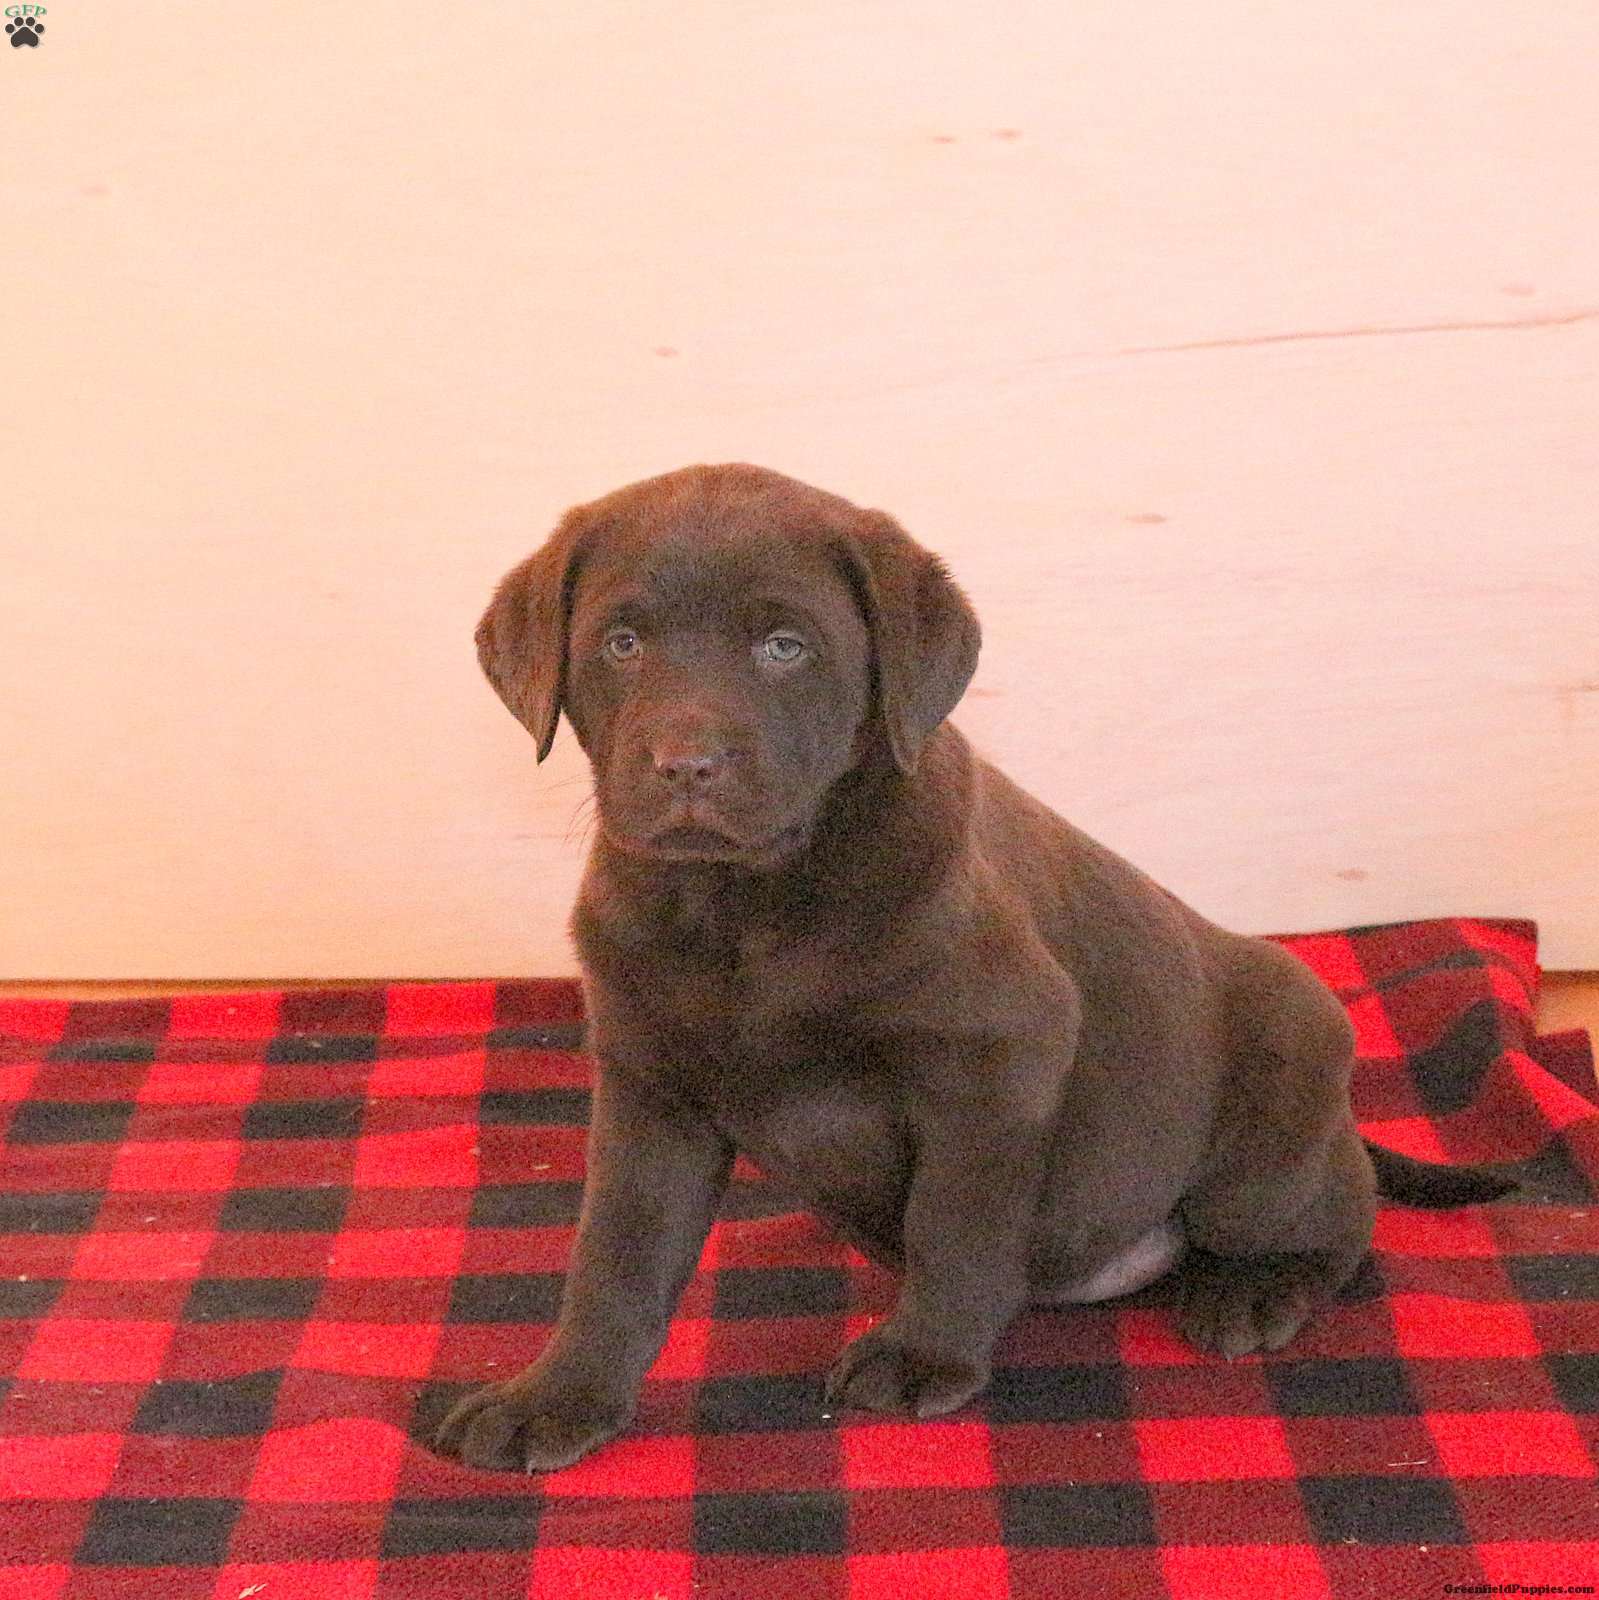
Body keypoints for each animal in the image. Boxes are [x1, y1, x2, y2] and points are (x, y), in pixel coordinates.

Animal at [437, 463, 1508, 1472]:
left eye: (784, 647)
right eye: (621, 645)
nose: (685, 765)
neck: (746, 905)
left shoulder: (995, 1055)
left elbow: (954, 1217)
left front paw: (922, 1355)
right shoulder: (649, 1088)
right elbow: (615, 1255)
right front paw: (557, 1397)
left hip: (1271, 1116)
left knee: (1337, 1217)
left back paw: (1255, 1291)